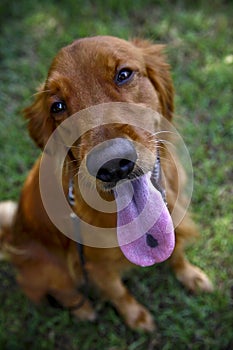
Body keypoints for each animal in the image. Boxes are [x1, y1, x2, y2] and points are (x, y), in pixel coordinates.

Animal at [0, 37, 213, 332]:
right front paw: (136, 317)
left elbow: (177, 252)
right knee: (59, 289)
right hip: (46, 266)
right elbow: (118, 292)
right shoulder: (95, 265)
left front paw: (191, 275)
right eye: (57, 106)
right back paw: (82, 309)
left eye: (123, 74)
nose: (112, 165)